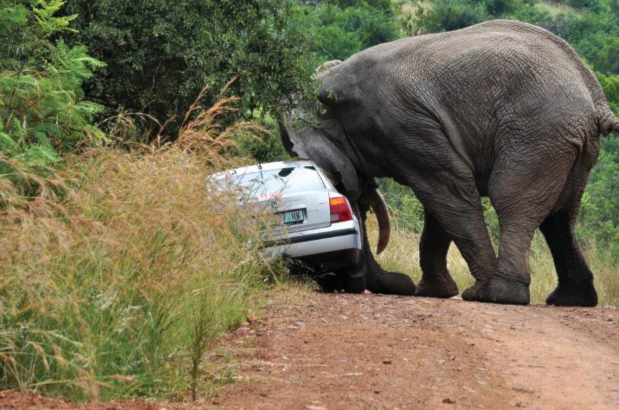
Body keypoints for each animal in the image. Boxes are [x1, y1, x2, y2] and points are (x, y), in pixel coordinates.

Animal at [280, 20, 619, 308]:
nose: (395, 283)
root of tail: (595, 99)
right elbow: (440, 202)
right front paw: (433, 292)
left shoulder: (402, 122)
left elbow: (447, 191)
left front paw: (464, 291)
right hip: (569, 142)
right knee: (561, 216)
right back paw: (570, 300)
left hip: (537, 132)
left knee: (511, 199)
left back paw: (496, 295)